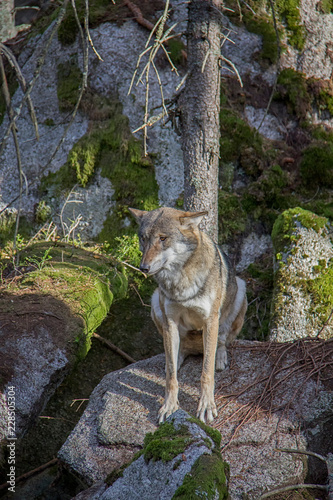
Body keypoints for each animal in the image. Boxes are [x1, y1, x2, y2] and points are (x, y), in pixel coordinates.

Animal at [128, 206, 245, 422]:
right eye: (143, 239)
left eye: (163, 238)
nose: (143, 268)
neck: (180, 280)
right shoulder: (170, 321)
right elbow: (171, 379)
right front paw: (169, 406)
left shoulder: (210, 320)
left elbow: (206, 373)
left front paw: (206, 406)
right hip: (155, 303)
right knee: (175, 355)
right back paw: (174, 359)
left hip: (241, 289)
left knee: (222, 341)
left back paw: (220, 358)